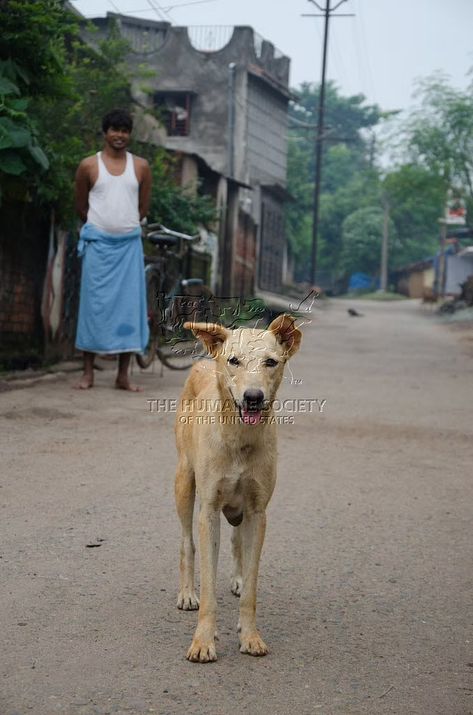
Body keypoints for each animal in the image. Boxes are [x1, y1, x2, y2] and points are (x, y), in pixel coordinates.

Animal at [174, 316, 302, 664]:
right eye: (234, 361)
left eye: (271, 362)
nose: (253, 397)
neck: (239, 437)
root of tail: (204, 362)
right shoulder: (208, 510)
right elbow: (208, 586)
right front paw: (203, 640)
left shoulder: (258, 511)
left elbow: (252, 587)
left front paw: (250, 636)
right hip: (183, 481)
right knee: (187, 543)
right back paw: (186, 593)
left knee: (236, 542)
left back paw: (237, 579)